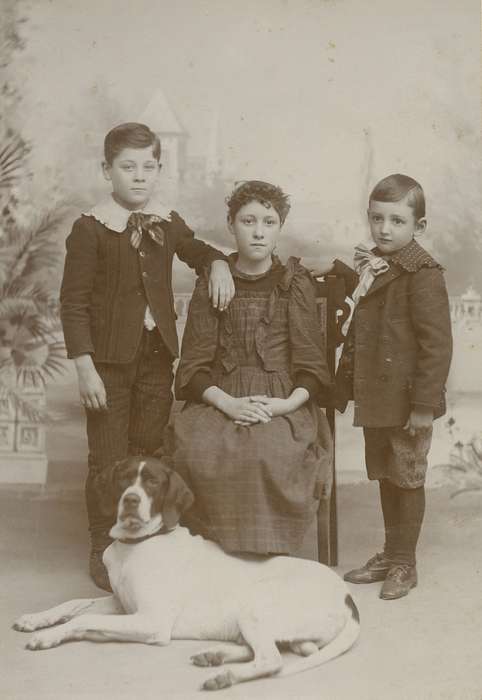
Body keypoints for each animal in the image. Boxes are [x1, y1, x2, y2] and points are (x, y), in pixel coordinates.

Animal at [13, 456, 360, 692]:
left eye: (153, 482)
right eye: (123, 479)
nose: (131, 500)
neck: (137, 544)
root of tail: (348, 600)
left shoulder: (151, 621)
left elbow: (84, 618)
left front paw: (49, 636)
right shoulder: (121, 604)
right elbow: (73, 604)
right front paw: (35, 619)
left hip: (255, 603)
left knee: (271, 660)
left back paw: (224, 676)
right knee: (276, 648)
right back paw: (215, 656)